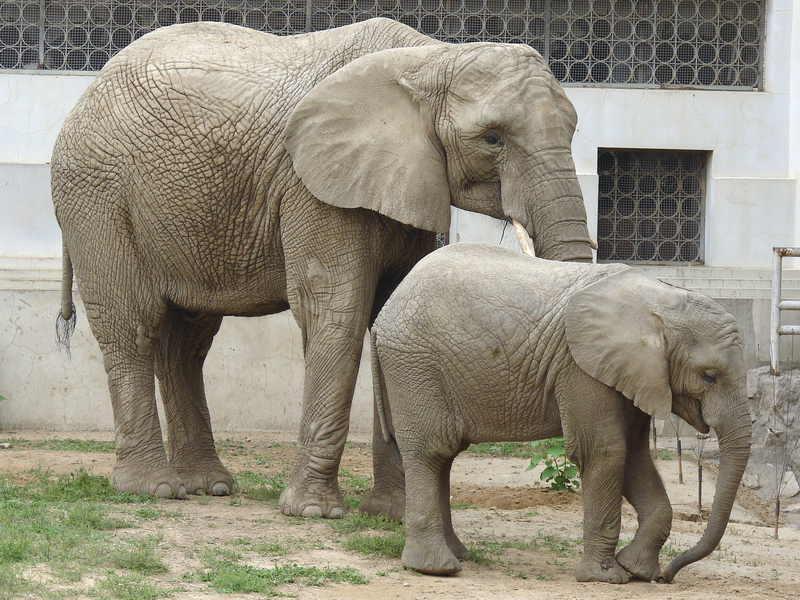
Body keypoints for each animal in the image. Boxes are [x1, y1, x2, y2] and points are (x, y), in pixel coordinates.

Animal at [50, 18, 594, 518]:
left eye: (573, 131)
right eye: (492, 139)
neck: (431, 59)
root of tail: (86, 92)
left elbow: (390, 316)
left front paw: (393, 514)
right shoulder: (313, 186)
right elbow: (336, 313)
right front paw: (314, 512)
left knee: (187, 339)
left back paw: (208, 486)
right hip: (96, 195)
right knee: (133, 324)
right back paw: (153, 489)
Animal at [370, 242, 751, 583]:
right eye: (709, 376)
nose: (668, 576)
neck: (661, 300)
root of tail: (385, 312)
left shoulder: (634, 374)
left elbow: (635, 456)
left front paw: (638, 570)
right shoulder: (581, 368)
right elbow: (605, 451)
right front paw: (606, 577)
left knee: (445, 456)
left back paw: (459, 555)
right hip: (415, 365)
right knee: (431, 451)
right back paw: (436, 568)